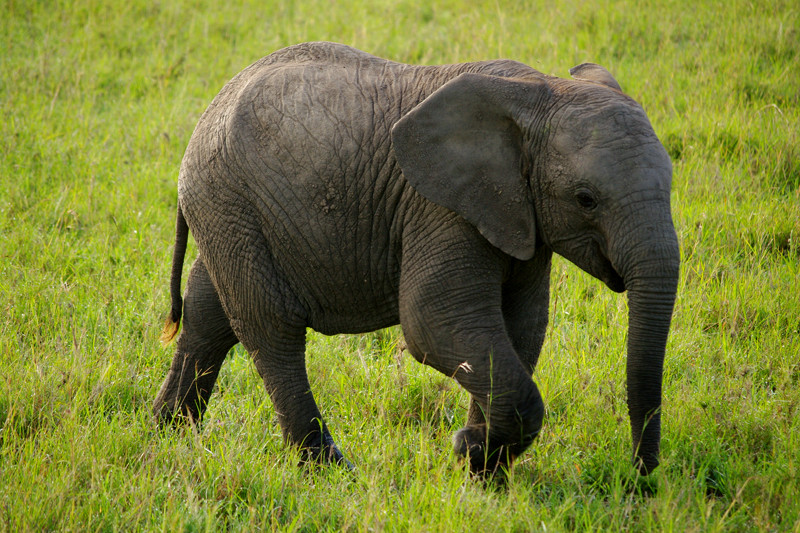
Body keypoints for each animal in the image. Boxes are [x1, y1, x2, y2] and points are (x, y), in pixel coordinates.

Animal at [153, 40, 680, 474]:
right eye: (586, 199)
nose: (640, 478)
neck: (539, 90)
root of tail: (210, 108)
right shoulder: (441, 208)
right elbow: (434, 322)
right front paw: (469, 451)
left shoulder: (520, 215)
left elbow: (522, 328)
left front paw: (483, 473)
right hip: (230, 200)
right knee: (272, 329)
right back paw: (330, 472)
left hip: (231, 212)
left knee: (210, 314)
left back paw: (168, 431)